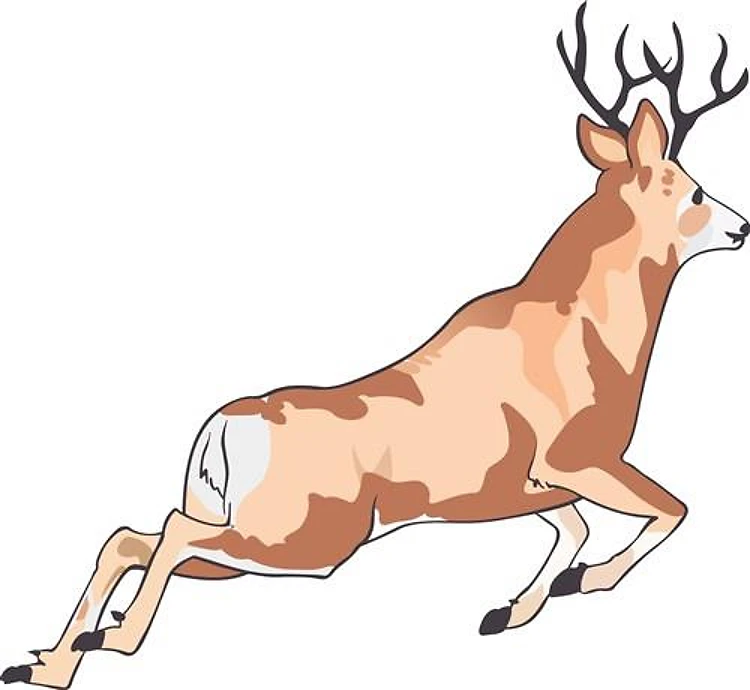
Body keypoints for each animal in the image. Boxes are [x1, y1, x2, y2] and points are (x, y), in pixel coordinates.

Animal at [2, 3, 748, 687]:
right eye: (695, 191)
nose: (740, 227)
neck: (587, 326)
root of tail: (223, 431)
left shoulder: (521, 487)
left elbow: (578, 529)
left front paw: (507, 612)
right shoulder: (578, 457)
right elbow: (671, 508)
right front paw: (580, 583)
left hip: (245, 541)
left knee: (131, 536)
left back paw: (48, 661)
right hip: (308, 538)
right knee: (165, 532)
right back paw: (111, 638)